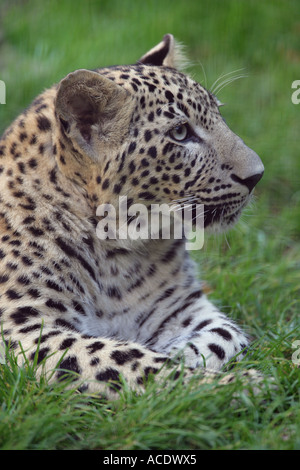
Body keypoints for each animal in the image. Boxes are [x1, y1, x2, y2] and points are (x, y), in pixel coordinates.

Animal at [0, 35, 262, 398]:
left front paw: (182, 354)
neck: (119, 255)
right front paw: (233, 386)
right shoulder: (24, 329)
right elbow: (129, 360)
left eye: (219, 116)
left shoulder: (181, 303)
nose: (257, 175)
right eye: (180, 133)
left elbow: (225, 335)